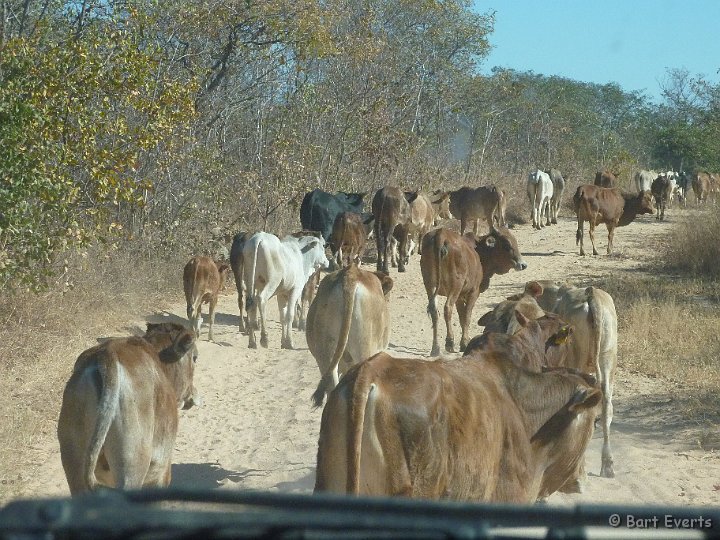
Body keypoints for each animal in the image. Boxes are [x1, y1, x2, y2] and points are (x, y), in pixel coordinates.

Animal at [57, 322, 200, 496]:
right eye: (195, 357)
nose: (193, 396)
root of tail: (107, 356)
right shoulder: (163, 472)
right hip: (132, 468)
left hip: (74, 465)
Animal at [420, 225, 524, 356]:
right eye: (506, 244)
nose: (523, 264)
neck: (479, 252)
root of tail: (441, 234)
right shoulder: (473, 292)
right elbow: (467, 316)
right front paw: (464, 343)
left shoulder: (460, 296)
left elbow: (461, 317)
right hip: (455, 284)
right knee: (447, 308)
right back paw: (449, 343)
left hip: (430, 284)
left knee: (434, 310)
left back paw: (435, 348)